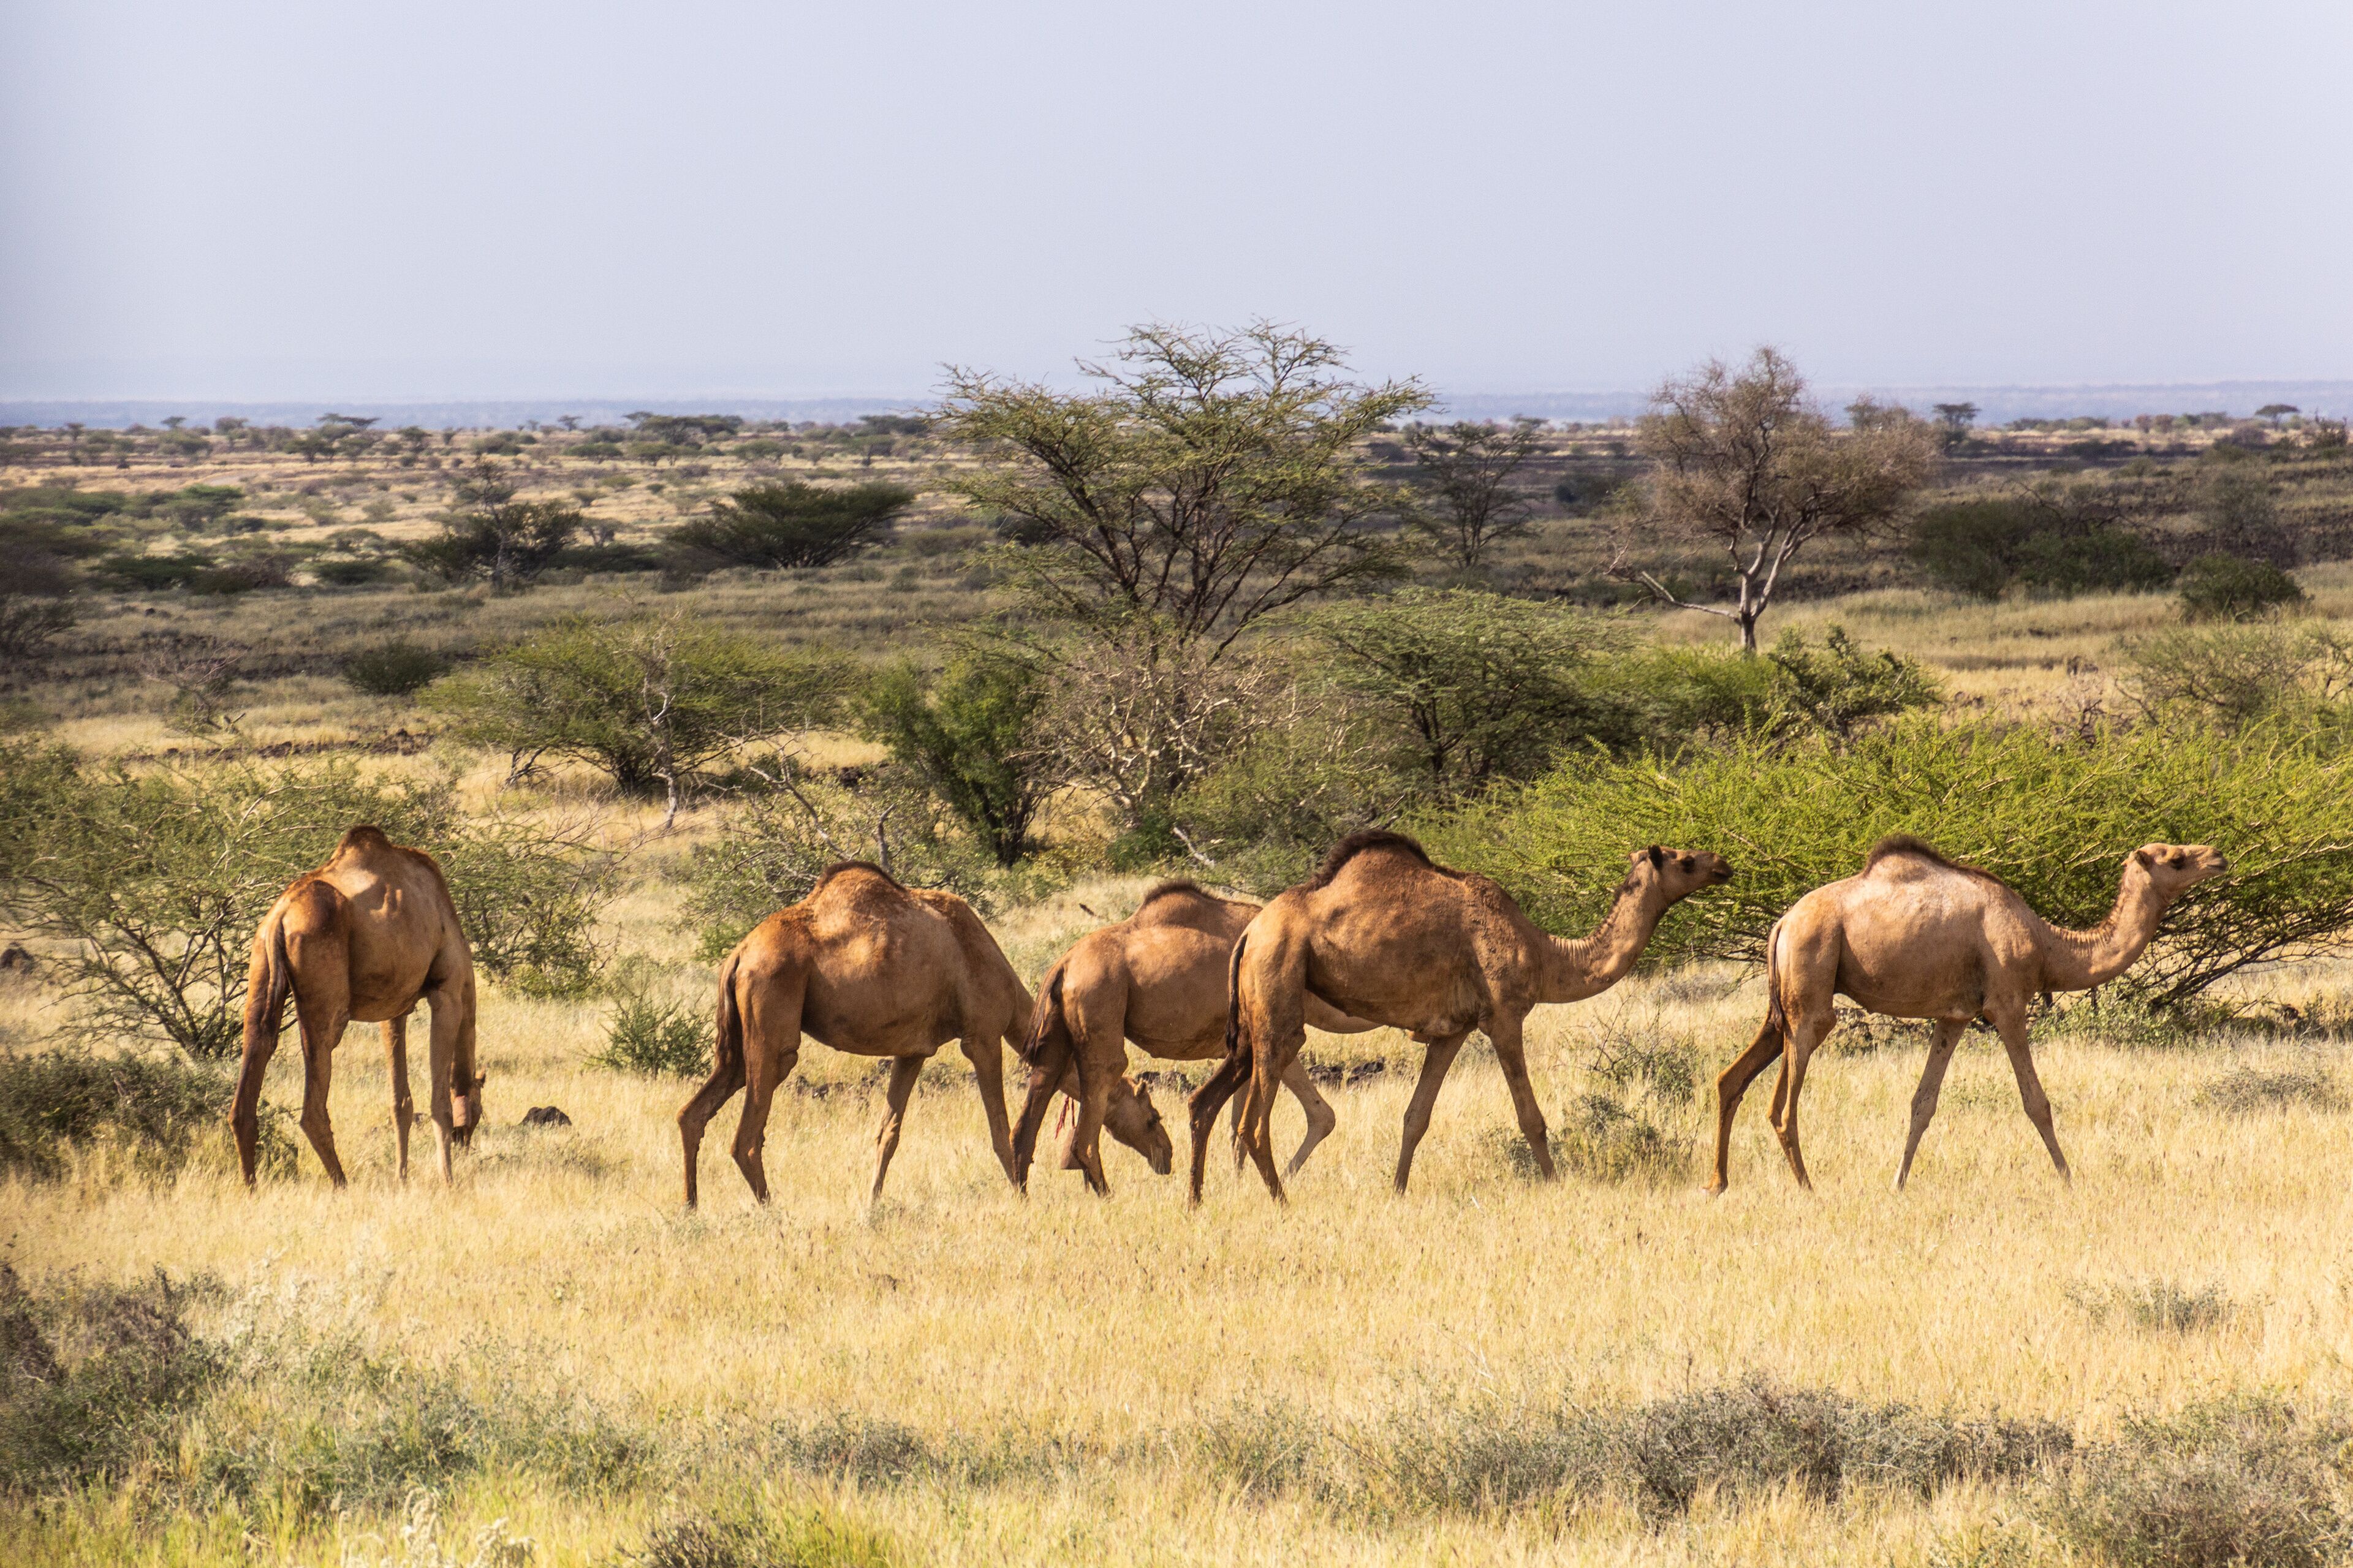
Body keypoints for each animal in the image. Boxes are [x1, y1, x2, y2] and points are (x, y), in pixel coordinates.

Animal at [233, 825, 484, 1187]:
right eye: (479, 1108)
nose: (467, 1141)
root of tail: (279, 918)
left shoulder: (395, 1007)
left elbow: (400, 1102)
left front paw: (402, 1178)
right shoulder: (446, 992)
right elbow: (439, 1103)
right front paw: (448, 1181)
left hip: (260, 967)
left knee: (253, 1066)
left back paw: (251, 1187)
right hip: (327, 997)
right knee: (312, 1105)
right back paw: (342, 1182)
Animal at [678, 862, 1171, 1207]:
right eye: (1152, 1116)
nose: (1166, 1156)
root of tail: (738, 954)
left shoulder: (912, 1050)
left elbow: (888, 1133)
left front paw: (872, 1207)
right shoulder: (981, 1036)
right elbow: (999, 1129)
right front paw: (1021, 1199)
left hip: (735, 1045)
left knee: (692, 1113)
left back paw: (690, 1208)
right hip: (773, 1023)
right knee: (746, 1137)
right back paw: (772, 1211)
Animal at [1008, 880, 1386, 1195]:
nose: (1165, 1156)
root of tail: (1062, 964)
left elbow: (1254, 1123)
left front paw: (1242, 1182)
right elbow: (1312, 1116)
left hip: (1056, 1037)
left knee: (1034, 1107)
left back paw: (1022, 1195)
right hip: (1100, 1012)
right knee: (1093, 1113)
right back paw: (1106, 1196)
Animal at [1190, 832, 1733, 1202]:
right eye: (1686, 860)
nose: (1723, 864)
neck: (1544, 953)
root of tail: (1251, 933)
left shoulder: (1450, 1031)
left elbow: (1415, 1117)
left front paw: (1397, 1191)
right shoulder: (1504, 1016)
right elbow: (1531, 1117)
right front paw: (1556, 1183)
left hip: (1249, 1022)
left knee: (1204, 1101)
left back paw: (1196, 1200)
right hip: (1278, 993)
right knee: (1253, 1123)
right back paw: (1280, 1200)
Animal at [1709, 835, 2228, 1194]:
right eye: (2175, 858)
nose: (2219, 856)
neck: (2047, 946)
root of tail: (1782, 922)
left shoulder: (1953, 1016)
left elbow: (1922, 1103)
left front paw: (1898, 1183)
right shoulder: (2008, 1004)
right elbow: (2037, 1101)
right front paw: (2069, 1179)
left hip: (1781, 1008)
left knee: (1730, 1077)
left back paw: (1718, 1183)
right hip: (1811, 989)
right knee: (1782, 1106)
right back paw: (1807, 1186)